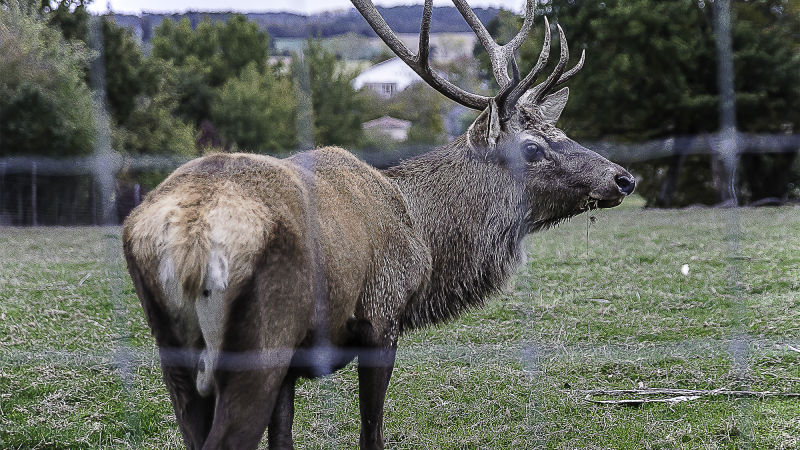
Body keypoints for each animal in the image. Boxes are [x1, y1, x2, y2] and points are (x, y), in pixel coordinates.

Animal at [122, 0, 635, 449]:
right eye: (531, 147)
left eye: (561, 131)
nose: (623, 178)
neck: (424, 237)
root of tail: (185, 234)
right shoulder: (381, 316)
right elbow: (372, 432)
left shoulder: (294, 365)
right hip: (259, 341)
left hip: (174, 350)